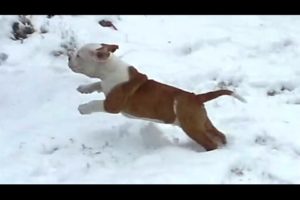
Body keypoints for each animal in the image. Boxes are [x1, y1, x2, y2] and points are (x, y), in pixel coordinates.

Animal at [68, 43, 246, 151]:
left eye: (79, 56)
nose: (69, 57)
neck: (108, 69)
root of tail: (196, 97)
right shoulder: (105, 85)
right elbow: (96, 85)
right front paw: (83, 88)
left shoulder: (112, 104)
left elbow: (96, 103)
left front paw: (83, 108)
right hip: (202, 122)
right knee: (219, 135)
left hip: (192, 127)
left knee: (210, 143)